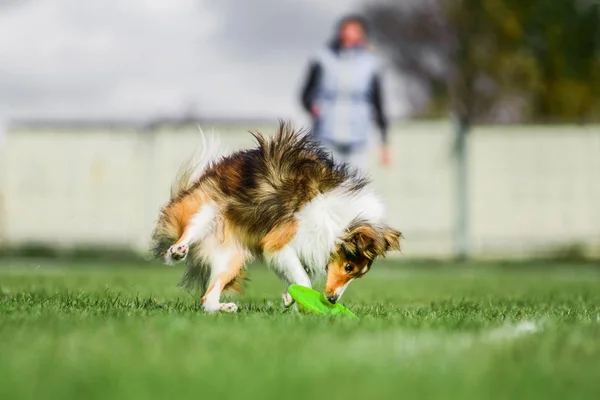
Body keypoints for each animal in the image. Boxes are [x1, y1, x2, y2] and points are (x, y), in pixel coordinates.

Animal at [151, 122, 404, 312]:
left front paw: (290, 297)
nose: (332, 301)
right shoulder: (278, 244)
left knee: (207, 299)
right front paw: (294, 296)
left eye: (356, 274)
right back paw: (178, 251)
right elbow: (303, 278)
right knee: (182, 239)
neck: (339, 223)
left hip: (231, 258)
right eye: (349, 267)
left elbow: (301, 276)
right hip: (206, 209)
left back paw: (223, 308)